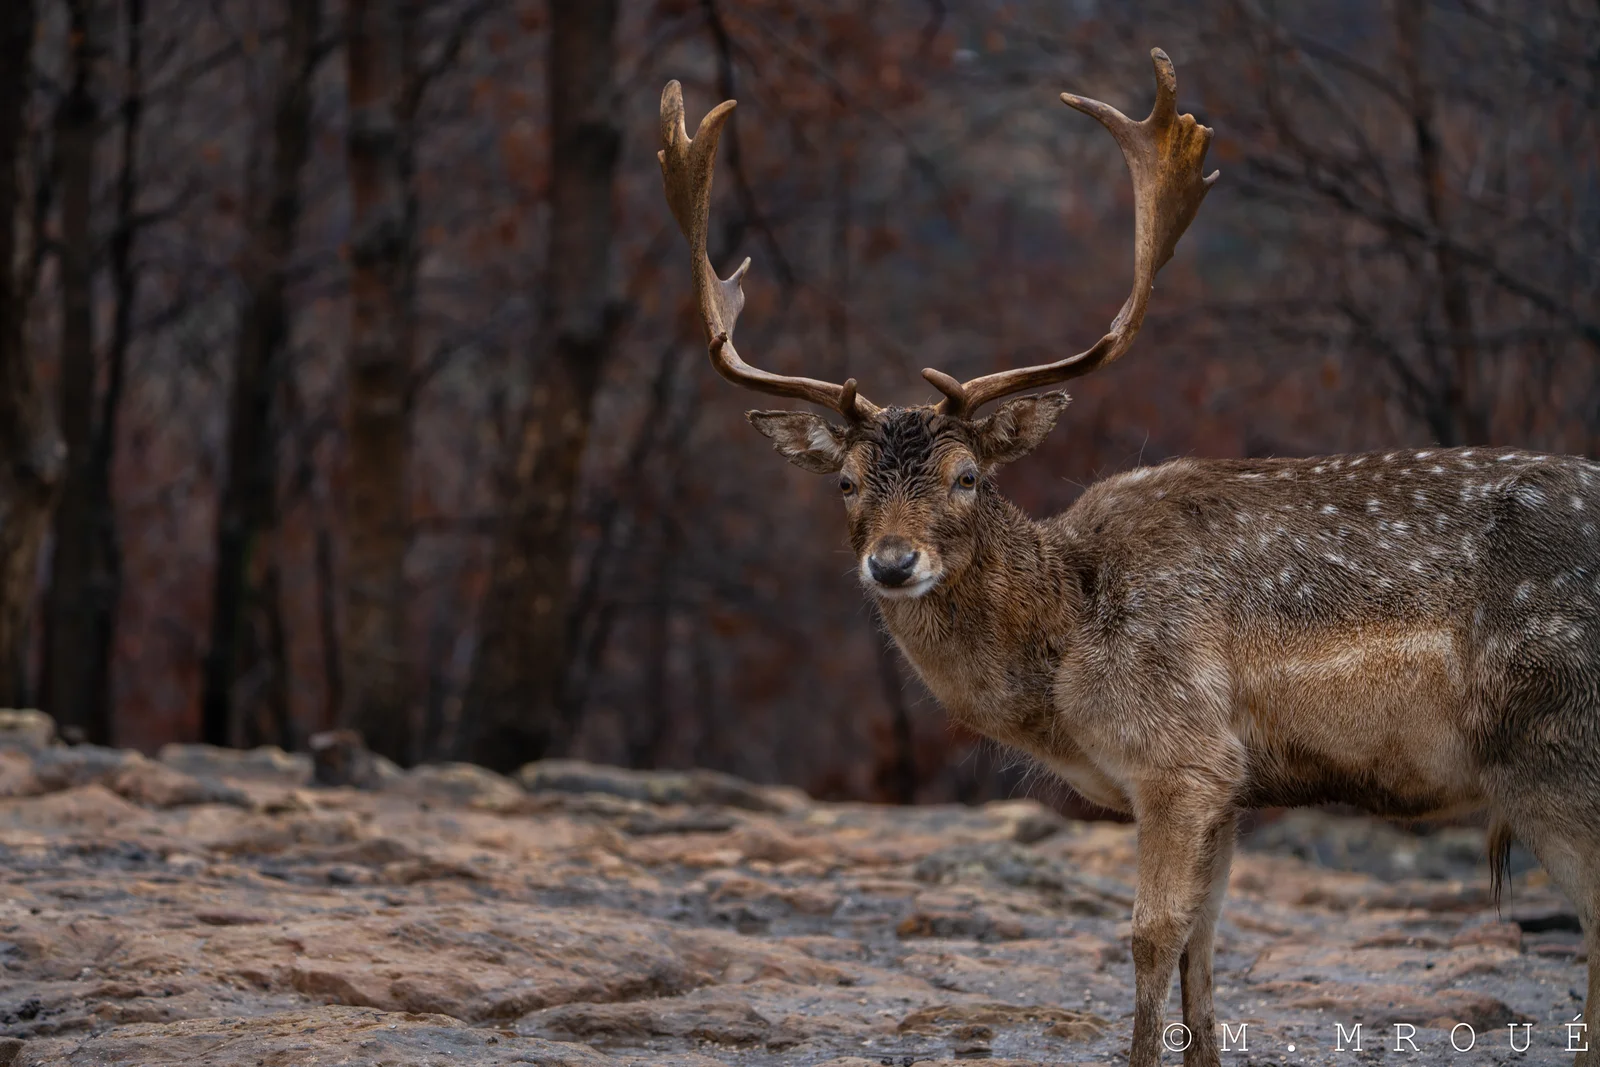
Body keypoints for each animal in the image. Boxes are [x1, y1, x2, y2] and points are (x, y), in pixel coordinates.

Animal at [659, 49, 1600, 1067]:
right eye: (844, 481)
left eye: (966, 476)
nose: (894, 563)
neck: (1066, 654)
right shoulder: (1232, 781)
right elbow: (1205, 941)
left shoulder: (1181, 753)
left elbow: (1150, 934)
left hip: (1552, 746)